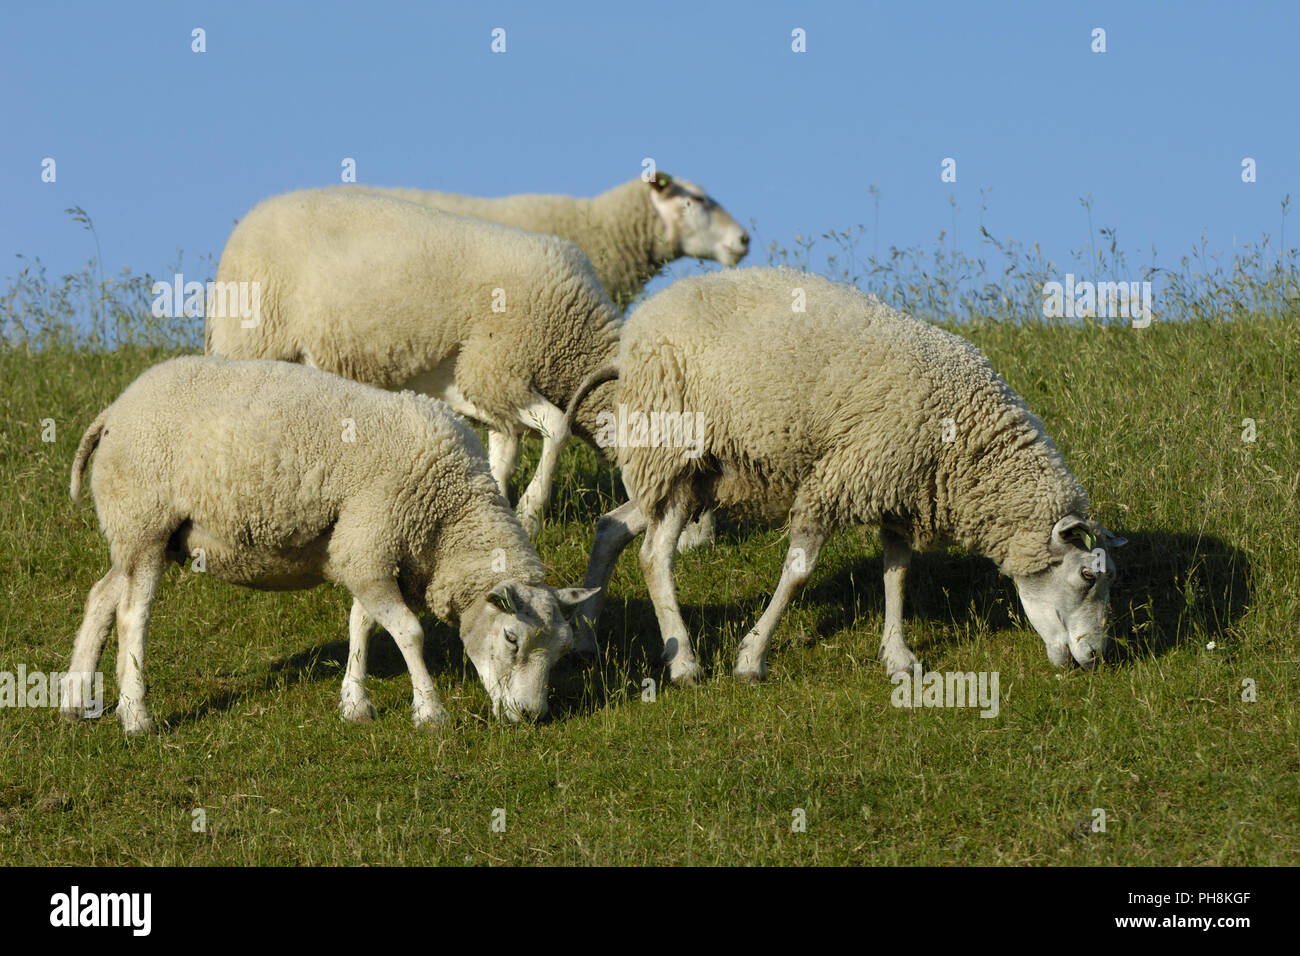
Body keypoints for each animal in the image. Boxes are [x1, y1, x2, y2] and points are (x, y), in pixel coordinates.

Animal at [61, 356, 598, 738]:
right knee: (133, 615)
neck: (448, 516)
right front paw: (430, 712)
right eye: (511, 639)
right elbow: (409, 633)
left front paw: (355, 704)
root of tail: (113, 411)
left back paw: (76, 700)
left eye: (562, 651)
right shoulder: (370, 542)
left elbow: (363, 624)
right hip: (144, 520)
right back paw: (136, 715)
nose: (530, 716)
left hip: (140, 534)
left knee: (102, 596)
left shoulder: (367, 550)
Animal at [561, 267, 1128, 686]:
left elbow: (897, 573)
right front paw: (751, 658)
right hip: (676, 452)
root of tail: (632, 337)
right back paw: (683, 664)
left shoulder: (901, 494)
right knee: (655, 556)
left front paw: (898, 655)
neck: (965, 440)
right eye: (1087, 577)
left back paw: (586, 636)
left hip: (693, 474)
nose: (1097, 657)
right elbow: (798, 573)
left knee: (611, 527)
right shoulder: (837, 479)